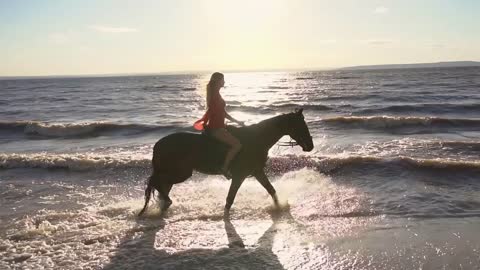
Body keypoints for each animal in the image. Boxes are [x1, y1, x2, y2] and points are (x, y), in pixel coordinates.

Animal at [137, 107, 314, 215]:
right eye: (300, 125)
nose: (310, 146)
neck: (256, 139)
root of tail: (158, 145)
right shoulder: (240, 176)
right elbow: (230, 198)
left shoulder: (257, 171)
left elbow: (271, 190)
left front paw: (279, 207)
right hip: (181, 173)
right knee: (157, 183)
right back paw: (164, 203)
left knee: (161, 185)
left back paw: (162, 205)